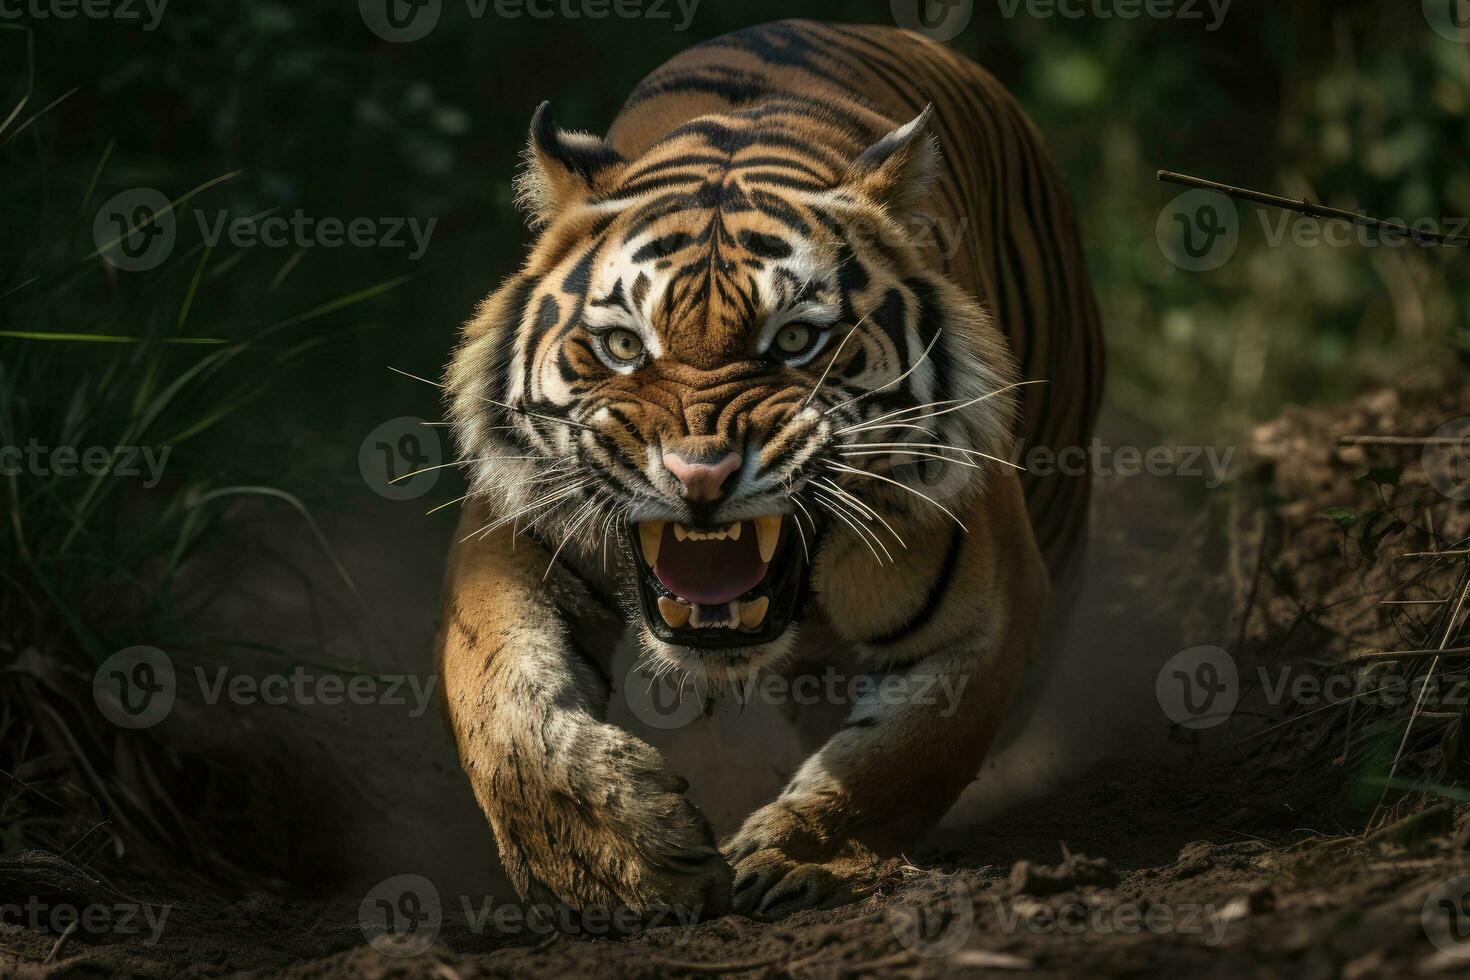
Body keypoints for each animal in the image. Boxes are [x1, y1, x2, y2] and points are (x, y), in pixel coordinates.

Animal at [435, 17, 1105, 922]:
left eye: (795, 340)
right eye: (623, 346)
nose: (698, 475)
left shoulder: (991, 603)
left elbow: (911, 752)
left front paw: (798, 857)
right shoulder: (510, 536)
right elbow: (503, 706)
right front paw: (616, 866)